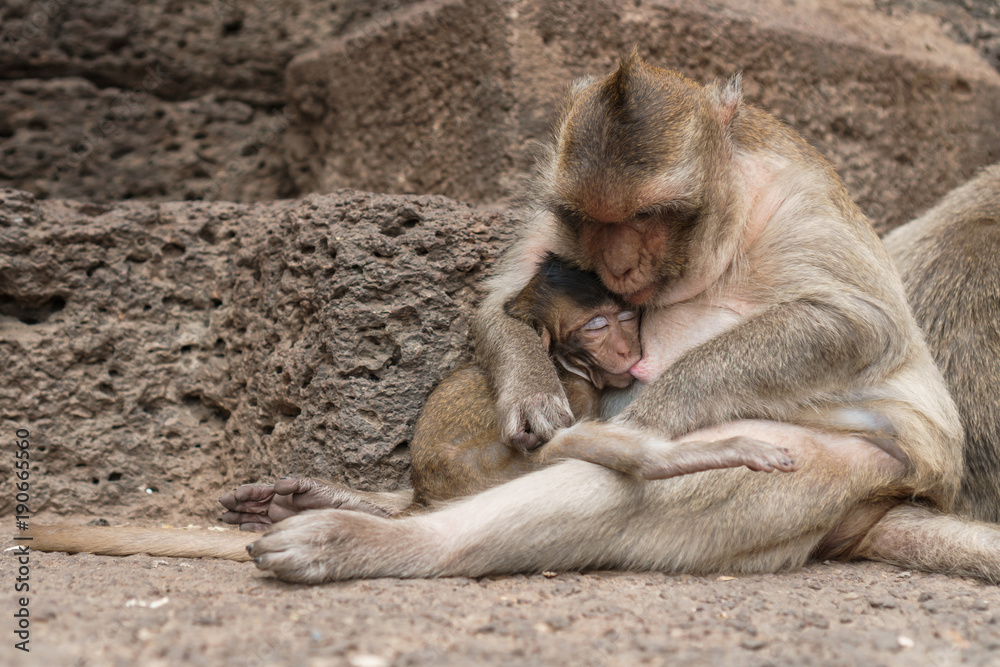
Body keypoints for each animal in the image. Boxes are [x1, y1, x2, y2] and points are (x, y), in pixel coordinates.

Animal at [250, 54, 1000, 580]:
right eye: (590, 219)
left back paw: (381, 539)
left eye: (647, 216)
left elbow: (855, 322)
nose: (615, 263)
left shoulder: (798, 194)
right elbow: (503, 299)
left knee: (685, 474)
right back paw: (359, 505)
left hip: (848, 473)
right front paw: (530, 388)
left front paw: (659, 412)